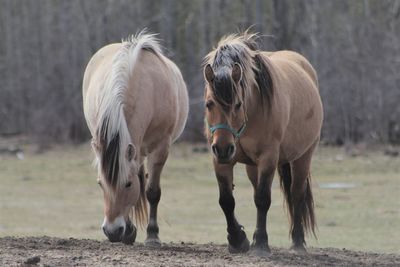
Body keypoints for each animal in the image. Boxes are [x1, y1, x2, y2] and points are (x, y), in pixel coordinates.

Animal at [83, 31, 189, 247]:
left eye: (128, 184)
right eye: (100, 184)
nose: (112, 232)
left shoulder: (160, 148)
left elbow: (152, 192)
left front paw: (152, 236)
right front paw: (129, 232)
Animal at [205, 32, 324, 256]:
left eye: (238, 104)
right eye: (209, 104)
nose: (224, 148)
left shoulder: (268, 158)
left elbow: (262, 199)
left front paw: (260, 242)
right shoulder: (220, 161)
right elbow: (226, 201)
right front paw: (237, 240)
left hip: (303, 156)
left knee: (297, 194)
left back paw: (297, 242)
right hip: (252, 166)